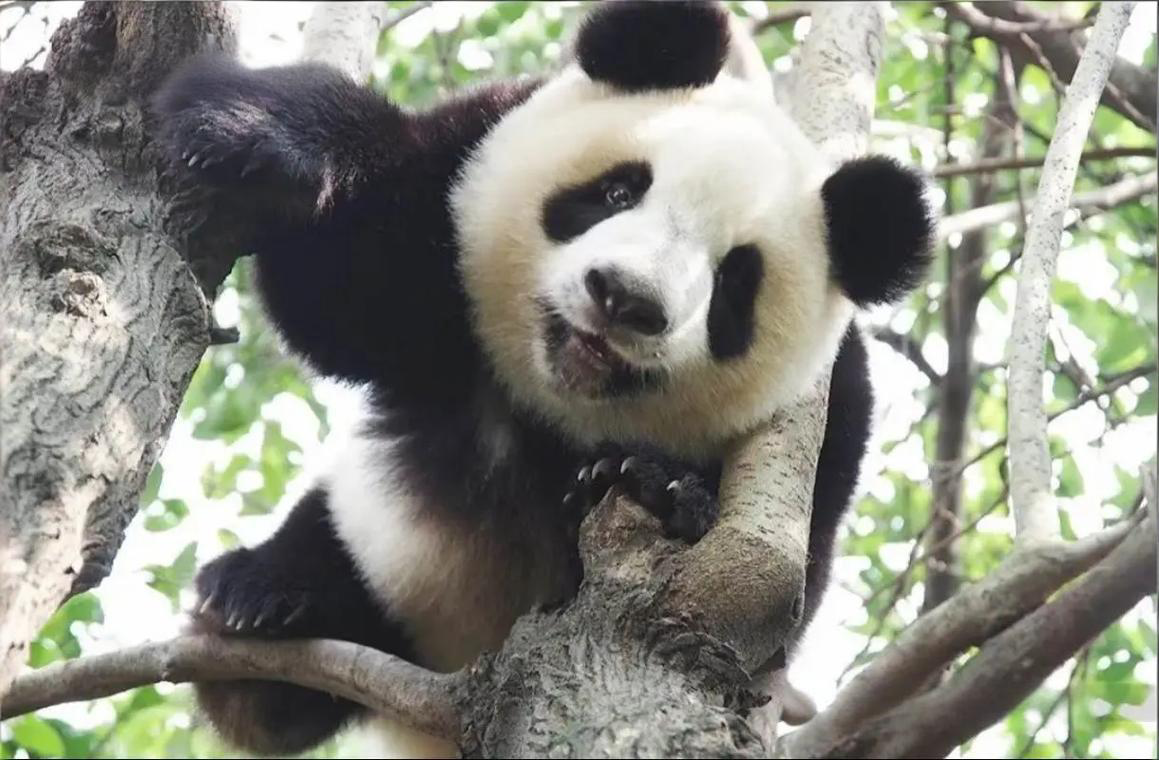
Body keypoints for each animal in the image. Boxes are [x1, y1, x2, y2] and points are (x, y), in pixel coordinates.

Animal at [154, 1, 934, 756]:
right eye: (618, 190)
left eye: (735, 281)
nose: (624, 298)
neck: (553, 403)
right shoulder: (458, 182)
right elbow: (340, 289)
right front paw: (252, 132)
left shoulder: (829, 425)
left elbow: (782, 599)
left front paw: (656, 485)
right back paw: (257, 600)